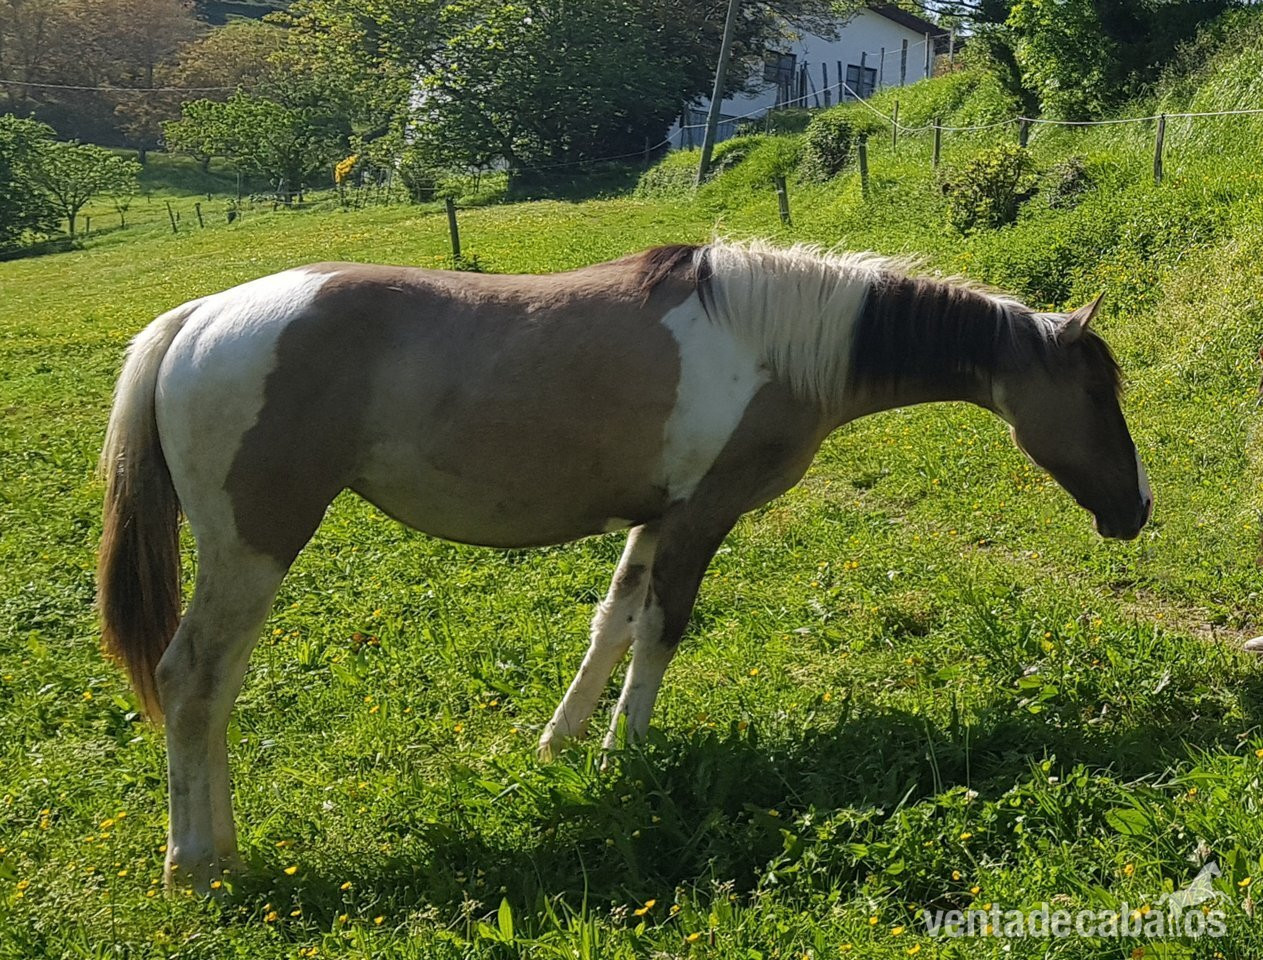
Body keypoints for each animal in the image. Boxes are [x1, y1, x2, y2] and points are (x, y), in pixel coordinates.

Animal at [97, 240, 1151, 889]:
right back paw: (197, 863)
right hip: (254, 547)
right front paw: (626, 756)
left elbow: (610, 622)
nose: (1137, 509)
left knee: (212, 688)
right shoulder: (701, 518)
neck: (771, 342)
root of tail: (196, 318)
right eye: (1098, 391)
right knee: (194, 681)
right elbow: (661, 631)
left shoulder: (655, 517)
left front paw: (562, 745)